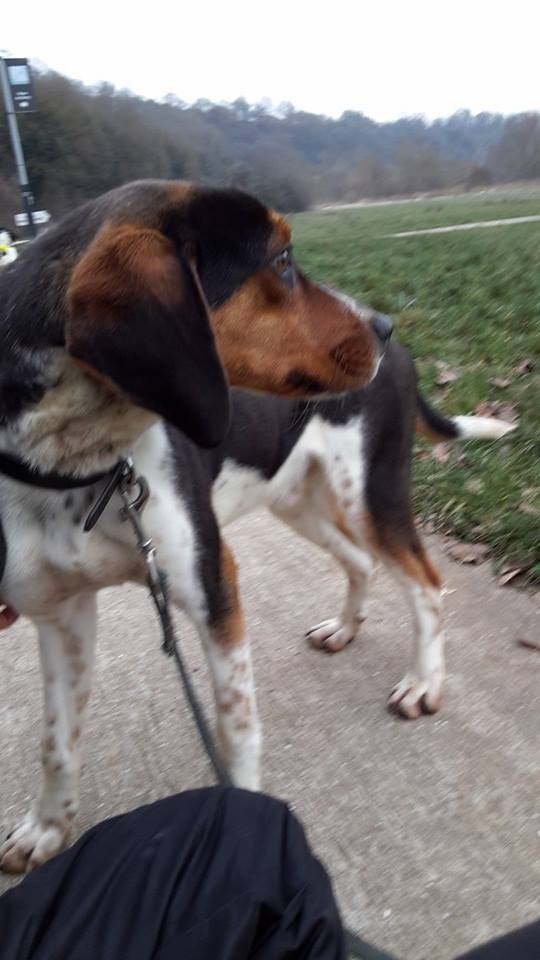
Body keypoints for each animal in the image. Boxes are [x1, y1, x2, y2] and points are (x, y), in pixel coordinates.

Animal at [0, 176, 390, 872]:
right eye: (282, 260)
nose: (388, 326)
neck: (77, 461)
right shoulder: (59, 615)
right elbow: (57, 742)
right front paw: (46, 825)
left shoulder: (214, 583)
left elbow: (236, 730)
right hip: (303, 500)